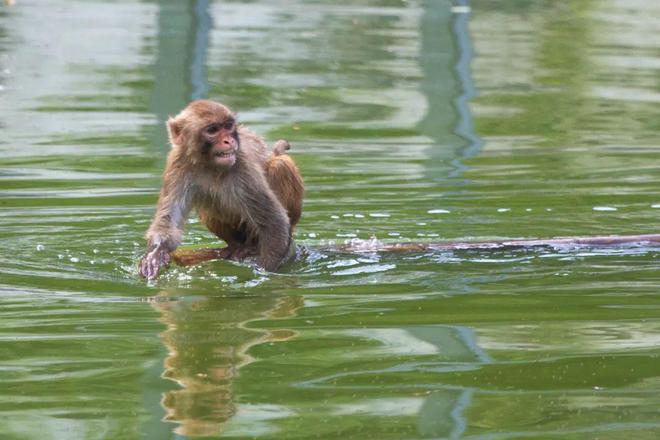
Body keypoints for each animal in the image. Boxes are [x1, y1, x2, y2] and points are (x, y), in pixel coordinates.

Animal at [141, 99, 306, 278]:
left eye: (228, 127)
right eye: (212, 130)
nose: (229, 141)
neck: (208, 164)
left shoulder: (242, 165)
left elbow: (274, 222)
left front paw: (265, 271)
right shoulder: (177, 164)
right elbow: (168, 221)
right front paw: (156, 253)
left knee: (280, 164)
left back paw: (253, 247)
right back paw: (234, 246)